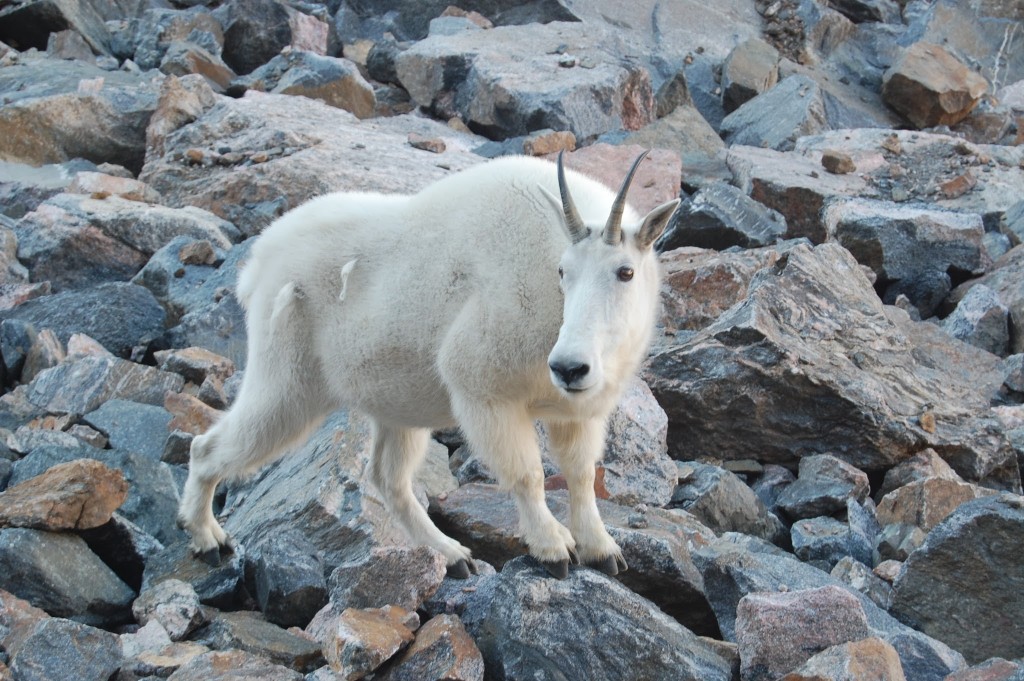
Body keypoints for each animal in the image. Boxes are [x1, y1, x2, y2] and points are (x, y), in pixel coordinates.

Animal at [178, 151, 679, 577]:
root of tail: (258, 263)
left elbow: (580, 474)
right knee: (209, 447)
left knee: (387, 478)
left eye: (625, 272)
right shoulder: (483, 390)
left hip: (395, 404)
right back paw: (208, 539)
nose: (569, 367)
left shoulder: (580, 409)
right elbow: (528, 475)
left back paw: (452, 555)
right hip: (286, 380)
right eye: (562, 271)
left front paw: (602, 549)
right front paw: (553, 548)